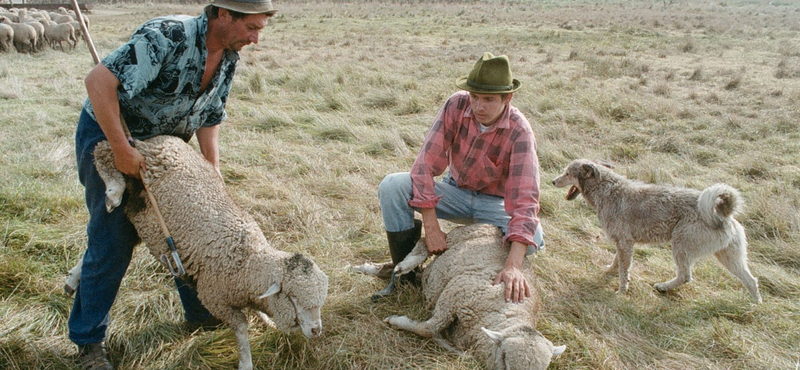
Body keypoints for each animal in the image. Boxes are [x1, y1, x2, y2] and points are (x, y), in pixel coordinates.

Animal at [362, 223, 564, 370]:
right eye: (506, 359)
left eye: (544, 368)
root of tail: (495, 228)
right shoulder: (455, 292)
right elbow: (428, 329)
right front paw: (396, 320)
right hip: (456, 237)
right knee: (426, 241)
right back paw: (406, 264)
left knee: (414, 270)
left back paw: (372, 269)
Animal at [552, 159, 764, 304]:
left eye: (568, 173)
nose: (553, 181)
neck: (607, 190)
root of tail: (723, 214)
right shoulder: (624, 244)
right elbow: (617, 263)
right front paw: (609, 272)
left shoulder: (625, 243)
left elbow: (623, 270)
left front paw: (621, 291)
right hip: (729, 258)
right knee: (751, 280)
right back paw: (755, 305)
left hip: (680, 246)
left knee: (685, 276)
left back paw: (663, 287)